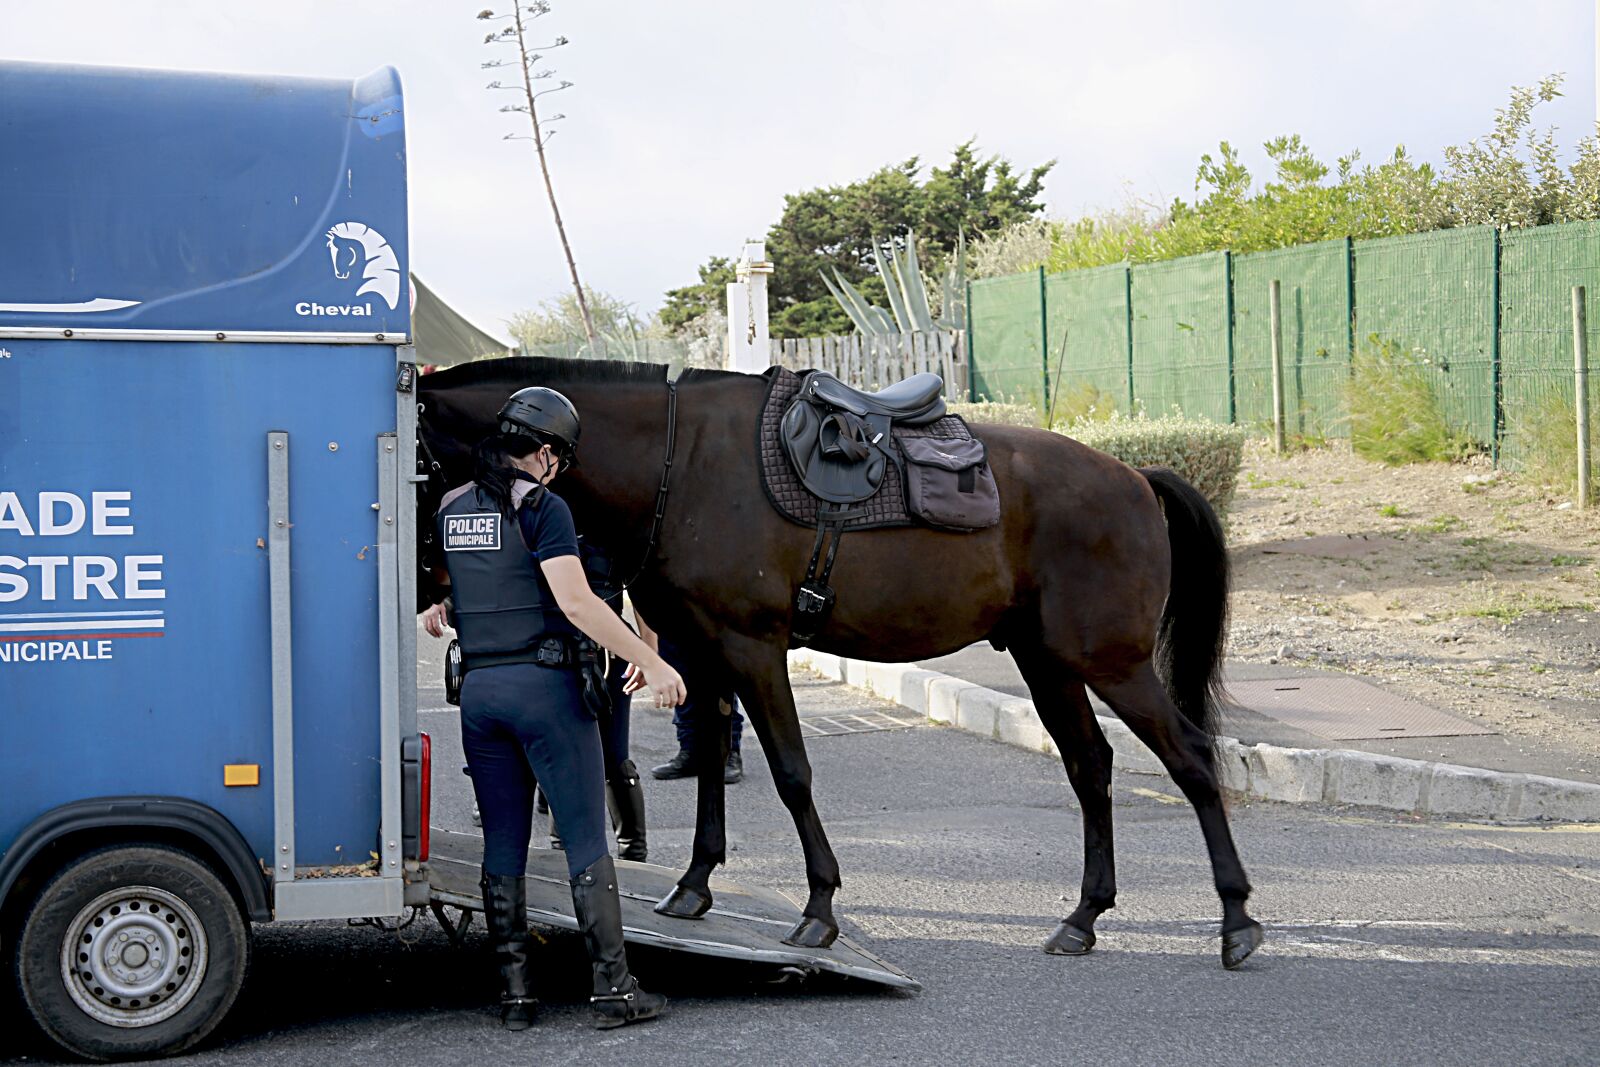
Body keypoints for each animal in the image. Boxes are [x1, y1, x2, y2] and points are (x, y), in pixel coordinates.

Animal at [415, 356, 1264, 970]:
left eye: (414, 459)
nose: (432, 597)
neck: (678, 461)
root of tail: (1136, 478)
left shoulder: (753, 648)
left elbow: (792, 772)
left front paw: (819, 907)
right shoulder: (701, 653)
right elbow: (709, 767)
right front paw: (694, 885)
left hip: (1112, 660)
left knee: (1192, 760)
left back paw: (1236, 918)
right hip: (1049, 661)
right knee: (1091, 768)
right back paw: (1084, 917)